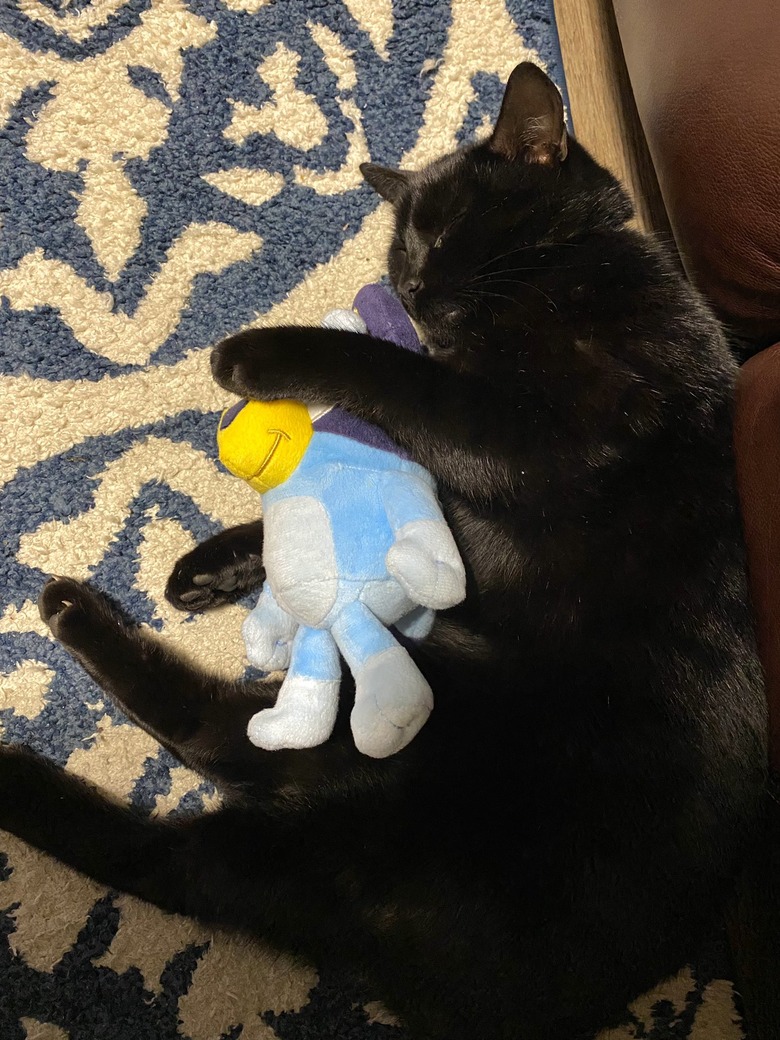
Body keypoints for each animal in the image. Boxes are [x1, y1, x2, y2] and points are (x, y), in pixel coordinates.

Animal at [0, 65, 769, 1040]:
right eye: (396, 252)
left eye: (434, 232)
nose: (405, 288)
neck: (573, 264)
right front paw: (213, 565)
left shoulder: (541, 437)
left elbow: (401, 377)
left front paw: (262, 355)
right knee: (195, 796)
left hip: (410, 714)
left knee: (194, 788)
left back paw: (35, 706)